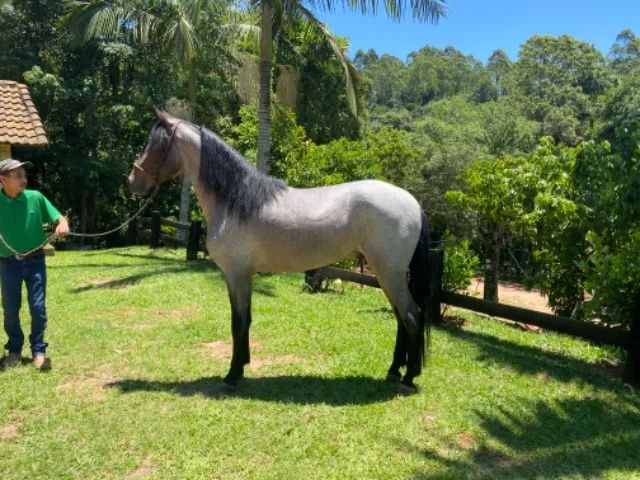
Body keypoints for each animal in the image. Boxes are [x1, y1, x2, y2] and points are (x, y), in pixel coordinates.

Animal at [128, 110, 432, 396]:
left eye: (156, 144)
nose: (133, 181)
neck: (234, 202)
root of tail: (413, 203)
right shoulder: (242, 276)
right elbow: (245, 319)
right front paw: (242, 366)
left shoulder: (236, 274)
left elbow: (238, 322)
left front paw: (232, 375)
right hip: (385, 274)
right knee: (401, 319)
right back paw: (393, 371)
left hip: (388, 273)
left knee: (412, 316)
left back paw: (408, 378)